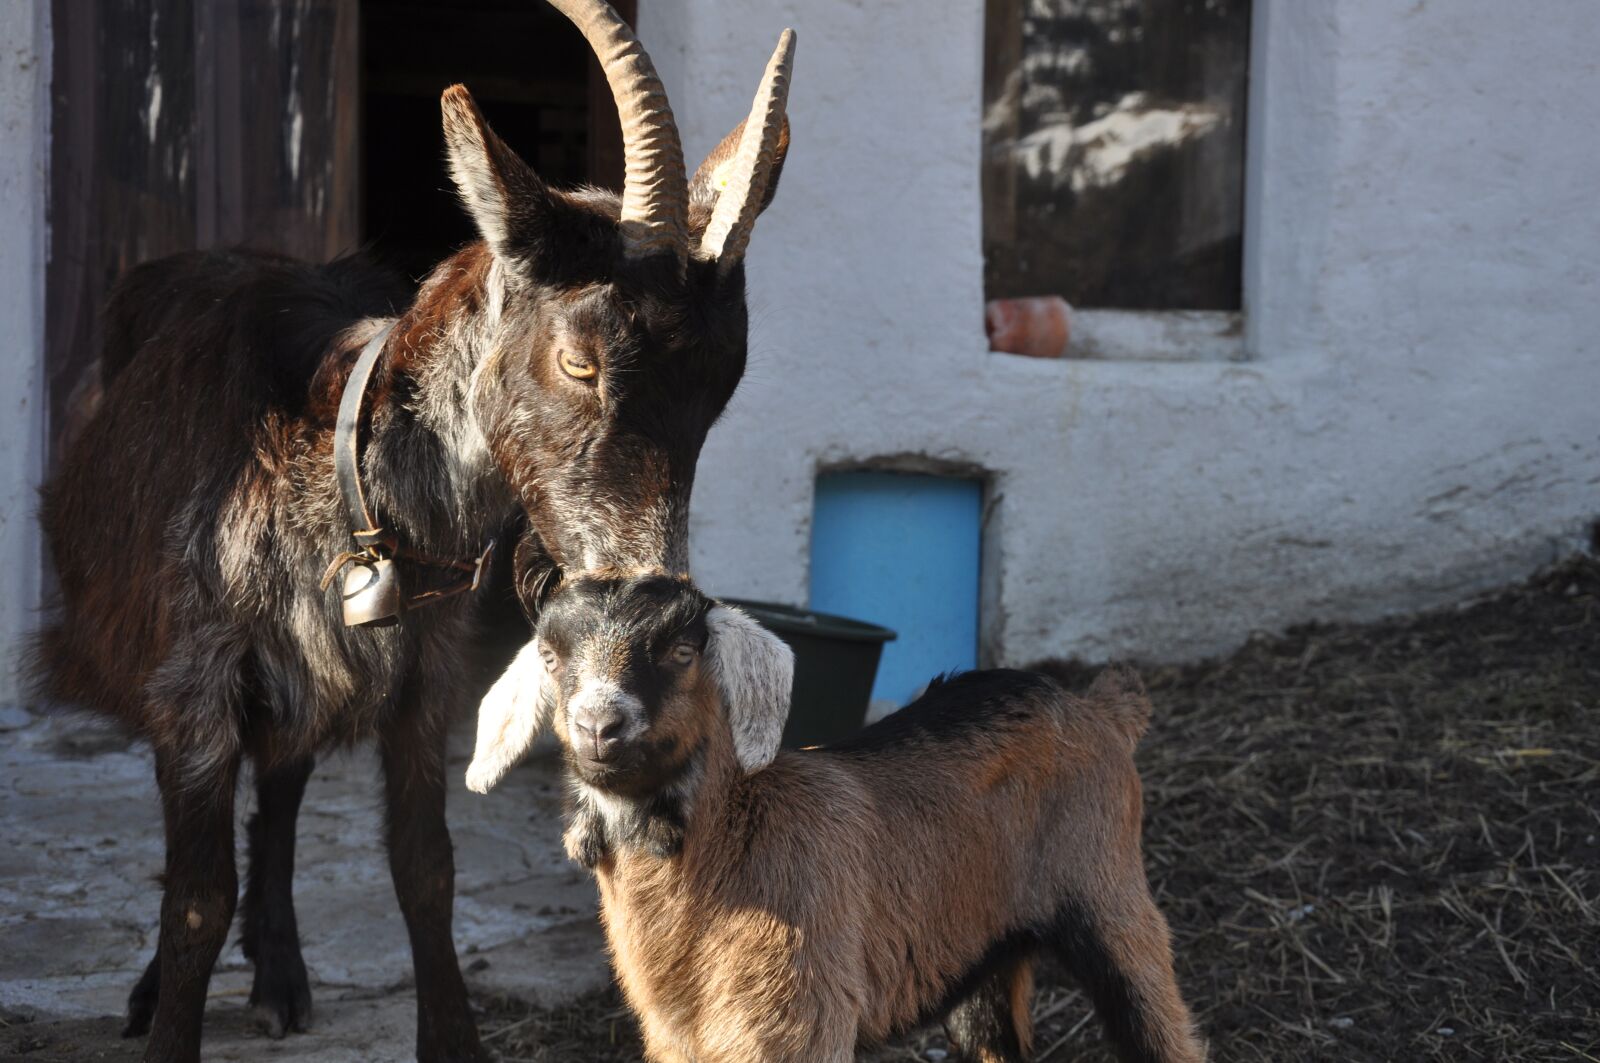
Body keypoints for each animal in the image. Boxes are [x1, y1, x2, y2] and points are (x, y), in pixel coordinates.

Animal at [30, 5, 795, 1060]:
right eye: (580, 360)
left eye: (720, 392)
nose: (647, 598)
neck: (341, 477)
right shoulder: (195, 676)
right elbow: (194, 896)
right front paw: (169, 1014)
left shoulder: (422, 672)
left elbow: (426, 865)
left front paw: (453, 1034)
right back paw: (166, 986)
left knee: (284, 784)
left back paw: (281, 972)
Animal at [468, 572, 1206, 1063]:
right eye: (552, 656)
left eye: (681, 651)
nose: (600, 726)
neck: (737, 833)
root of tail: (1100, 706)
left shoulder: (797, 1015)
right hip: (984, 953)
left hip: (1111, 896)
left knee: (1162, 1025)